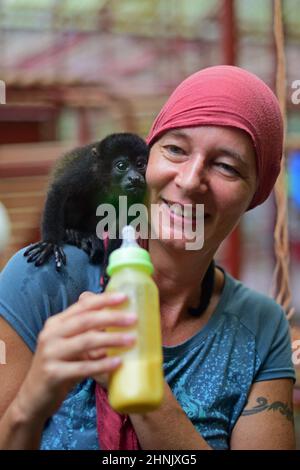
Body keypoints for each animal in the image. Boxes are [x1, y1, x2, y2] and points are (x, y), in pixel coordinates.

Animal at [23, 132, 149, 272]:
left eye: (140, 164)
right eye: (121, 166)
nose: (135, 178)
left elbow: (123, 220)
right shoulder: (85, 170)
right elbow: (59, 190)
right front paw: (50, 243)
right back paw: (73, 234)